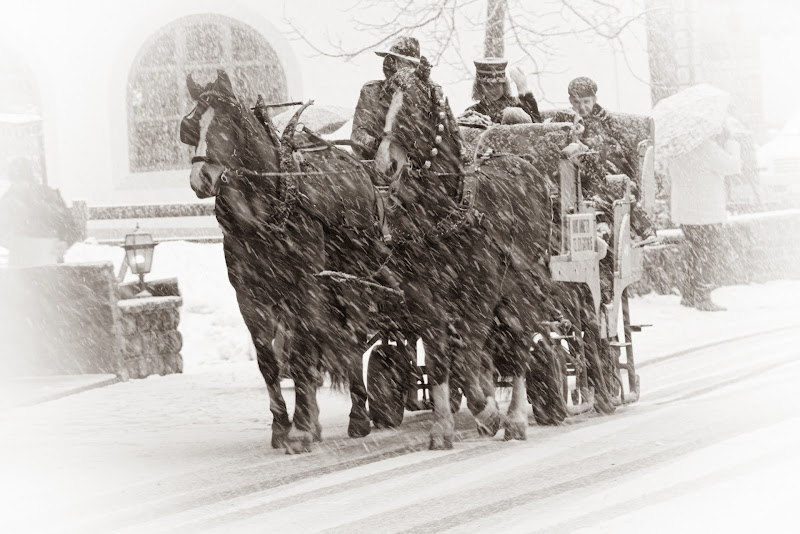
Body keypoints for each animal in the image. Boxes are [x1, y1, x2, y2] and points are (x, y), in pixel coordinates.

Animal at [182, 70, 384, 456]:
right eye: (189, 127)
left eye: (228, 121)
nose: (201, 180)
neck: (264, 213)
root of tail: (356, 166)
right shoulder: (250, 296)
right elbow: (269, 362)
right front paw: (282, 426)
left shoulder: (305, 285)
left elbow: (303, 353)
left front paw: (302, 428)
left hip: (350, 279)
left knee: (352, 336)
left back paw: (358, 415)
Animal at [376, 68, 564, 452]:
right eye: (385, 101)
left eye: (415, 105)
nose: (385, 164)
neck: (441, 213)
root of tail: (526, 165)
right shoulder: (424, 298)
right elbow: (440, 360)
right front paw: (443, 427)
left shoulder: (480, 290)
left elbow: (464, 360)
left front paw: (488, 412)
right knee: (490, 347)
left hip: (524, 287)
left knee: (520, 345)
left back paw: (515, 418)